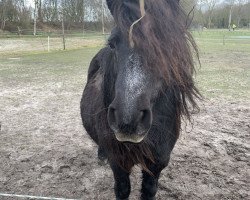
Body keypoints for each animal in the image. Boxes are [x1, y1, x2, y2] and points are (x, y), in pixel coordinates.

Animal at [81, 0, 200, 200]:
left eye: (163, 43)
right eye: (112, 44)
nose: (128, 120)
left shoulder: (157, 164)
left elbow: (149, 190)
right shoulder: (118, 164)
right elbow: (122, 190)